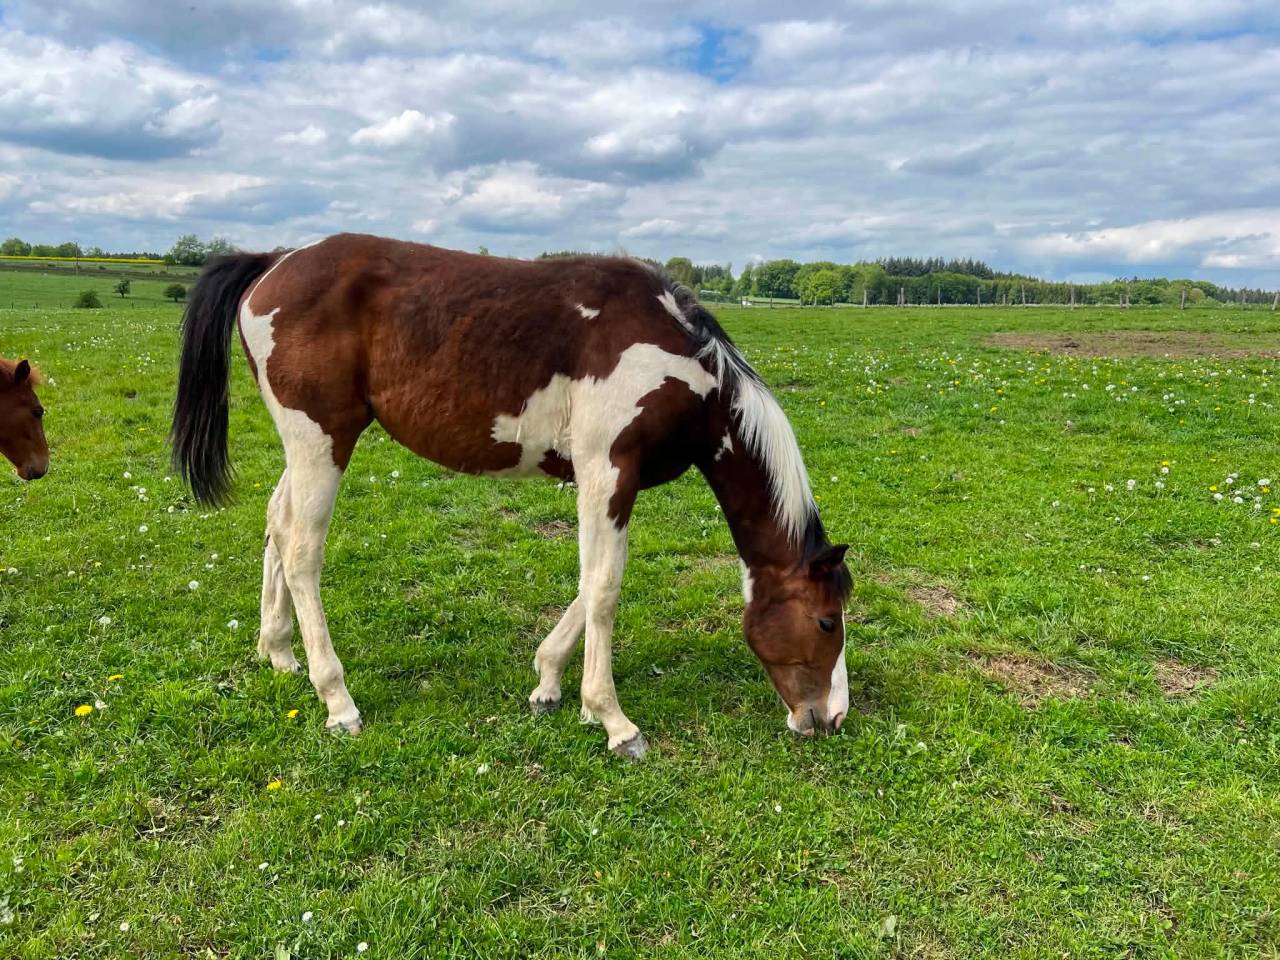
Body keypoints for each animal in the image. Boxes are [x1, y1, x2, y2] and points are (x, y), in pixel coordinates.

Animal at [171, 234, 851, 758]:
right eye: (825, 620)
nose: (831, 717)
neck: (678, 356)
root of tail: (275, 261)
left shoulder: (613, 483)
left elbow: (593, 583)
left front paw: (550, 682)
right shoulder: (607, 471)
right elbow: (604, 588)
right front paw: (612, 720)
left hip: (309, 446)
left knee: (277, 525)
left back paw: (278, 653)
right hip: (322, 440)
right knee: (302, 552)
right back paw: (336, 699)